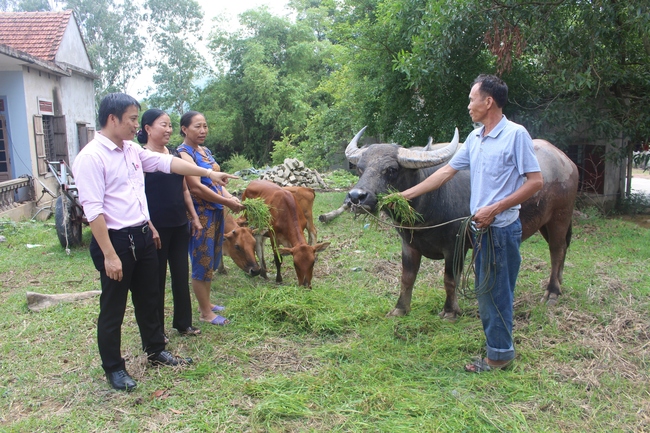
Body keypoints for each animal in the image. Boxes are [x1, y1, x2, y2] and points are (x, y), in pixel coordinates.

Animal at [344, 126, 576, 318]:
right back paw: (559, 284)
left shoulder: (455, 246)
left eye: (391, 170)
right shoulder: (409, 245)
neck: (430, 203)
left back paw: (552, 292)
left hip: (560, 216)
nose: (356, 197)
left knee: (557, 250)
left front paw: (450, 311)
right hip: (544, 222)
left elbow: (450, 279)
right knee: (562, 249)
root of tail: (567, 161)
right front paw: (400, 309)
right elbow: (407, 277)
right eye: (361, 168)